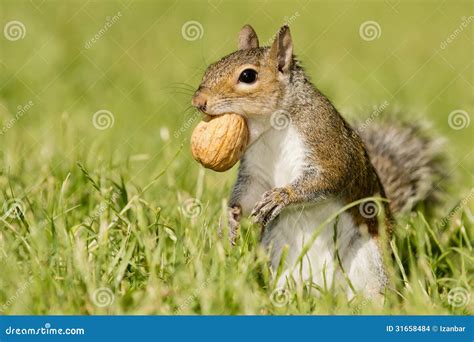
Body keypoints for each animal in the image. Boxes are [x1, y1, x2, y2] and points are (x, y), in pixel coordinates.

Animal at [191, 24, 442, 296]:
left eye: (248, 76)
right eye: (210, 68)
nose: (198, 102)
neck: (271, 127)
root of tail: (327, 289)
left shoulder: (326, 141)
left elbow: (328, 177)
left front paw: (282, 196)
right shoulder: (255, 171)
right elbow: (248, 195)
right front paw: (229, 219)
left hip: (370, 259)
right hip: (280, 254)